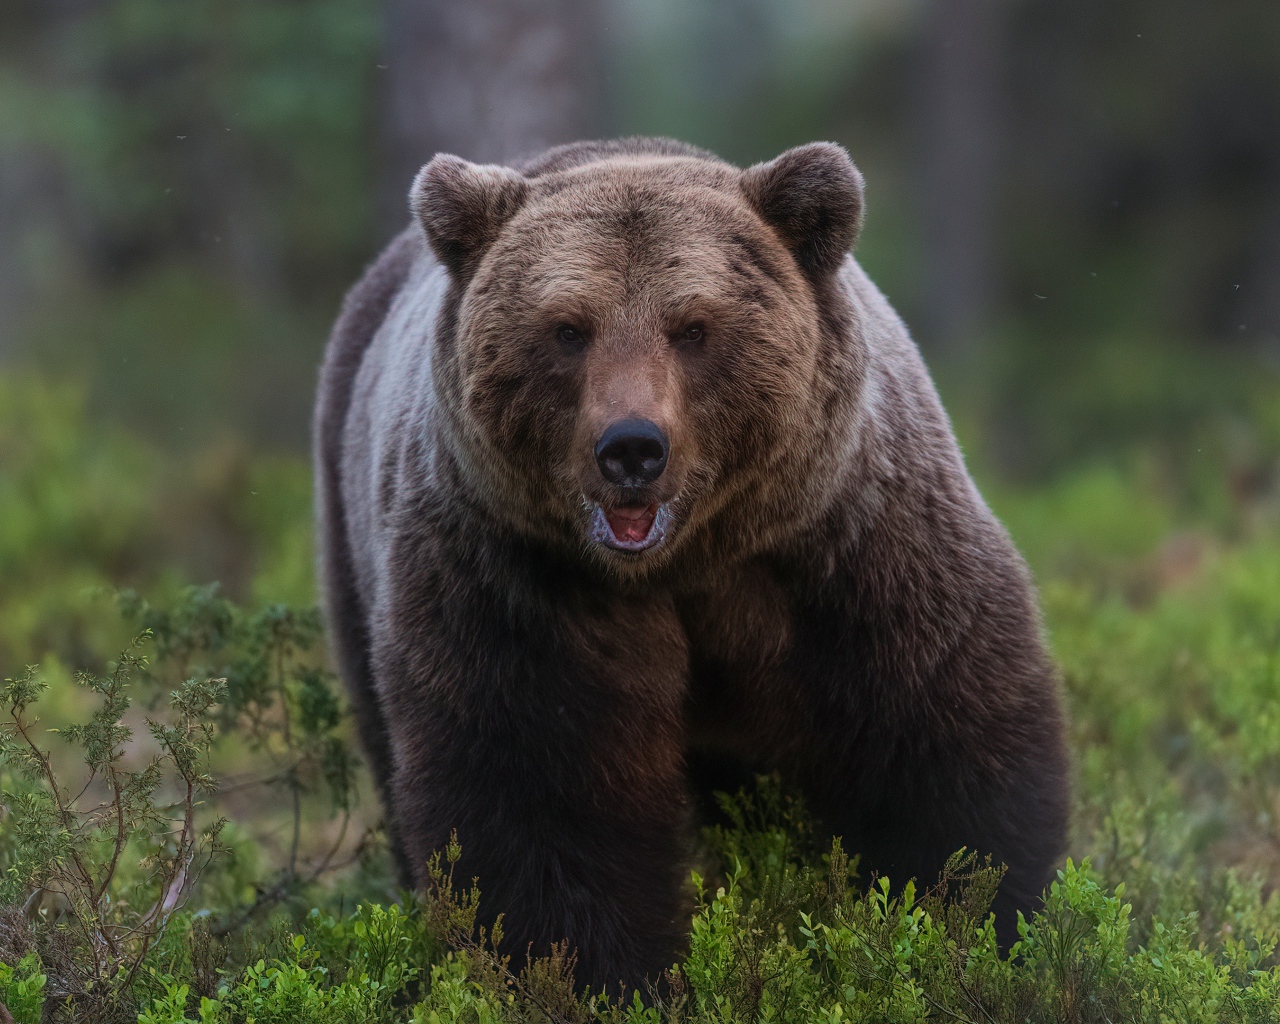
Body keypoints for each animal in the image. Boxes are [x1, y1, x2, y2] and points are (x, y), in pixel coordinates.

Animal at [312, 133, 1070, 993]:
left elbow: (938, 752)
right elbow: (543, 799)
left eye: (693, 327)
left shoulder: (853, 552)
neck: (689, 562)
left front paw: (972, 924)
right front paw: (601, 974)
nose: (632, 448)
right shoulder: (519, 582)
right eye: (568, 328)